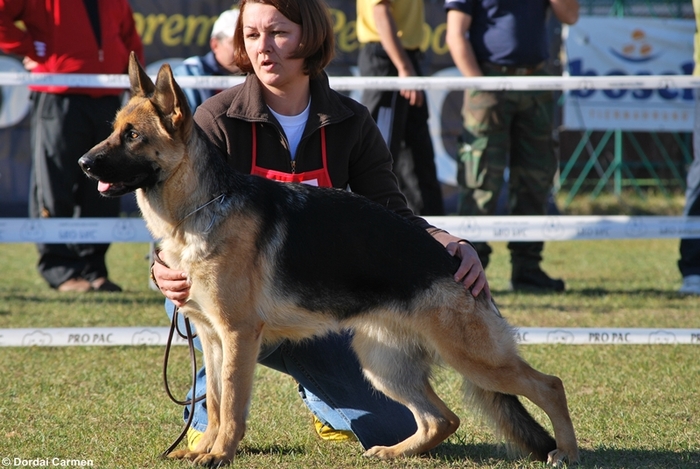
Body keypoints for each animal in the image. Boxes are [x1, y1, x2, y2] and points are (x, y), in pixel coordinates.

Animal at [78, 53, 580, 466]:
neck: (199, 207)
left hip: (473, 359)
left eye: (133, 136)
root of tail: (451, 260)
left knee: (550, 385)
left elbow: (234, 405)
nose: (83, 162)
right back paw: (395, 452)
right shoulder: (212, 338)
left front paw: (219, 454)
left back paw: (568, 453)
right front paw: (205, 448)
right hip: (381, 362)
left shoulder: (237, 336)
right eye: (112, 130)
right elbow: (217, 402)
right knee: (443, 419)